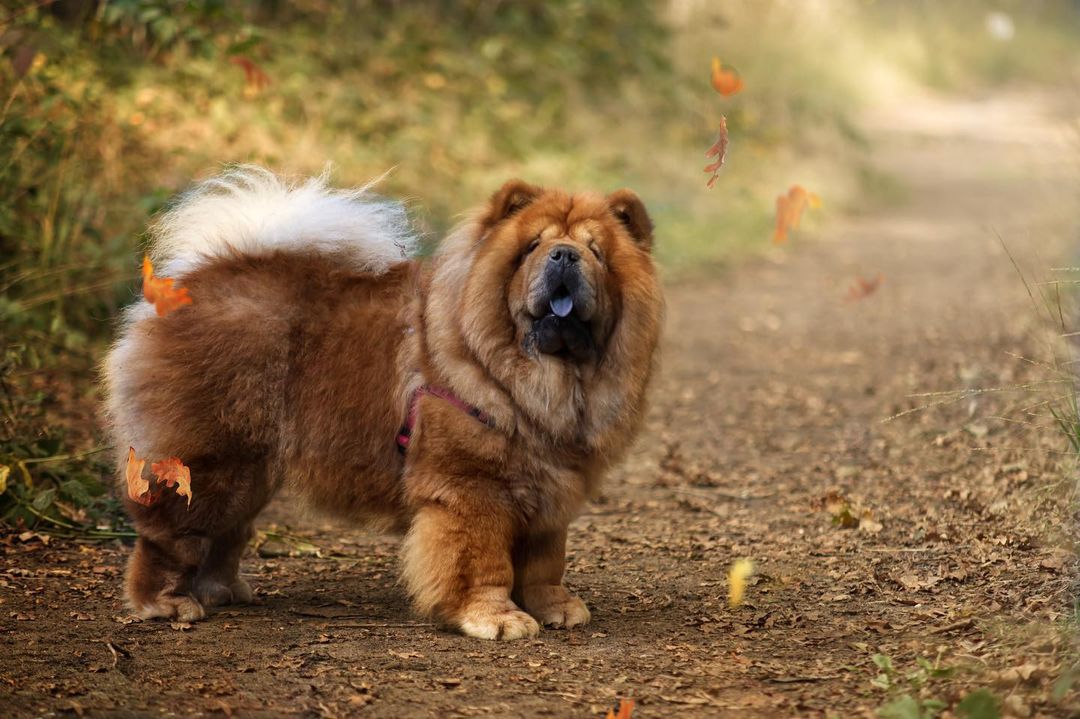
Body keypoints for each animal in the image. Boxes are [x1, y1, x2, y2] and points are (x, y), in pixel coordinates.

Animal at [103, 168, 656, 639]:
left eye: (597, 252)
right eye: (532, 248)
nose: (564, 256)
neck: (543, 379)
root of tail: (193, 279)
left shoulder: (549, 484)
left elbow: (545, 559)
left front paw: (554, 606)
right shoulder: (472, 487)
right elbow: (482, 561)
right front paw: (496, 618)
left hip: (252, 468)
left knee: (227, 533)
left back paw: (224, 591)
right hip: (212, 460)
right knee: (171, 534)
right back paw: (167, 604)